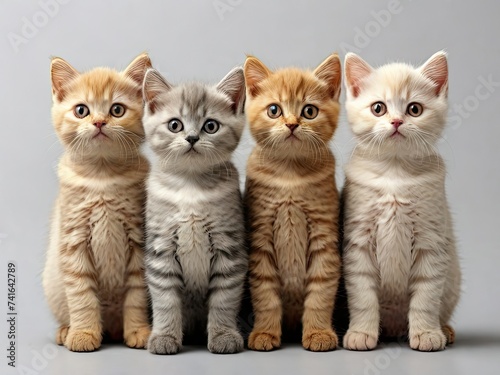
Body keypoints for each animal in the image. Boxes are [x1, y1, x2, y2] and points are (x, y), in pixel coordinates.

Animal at [42, 53, 152, 352]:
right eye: (82, 110)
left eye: (117, 110)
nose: (100, 122)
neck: (102, 175)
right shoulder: (74, 241)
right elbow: (82, 296)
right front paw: (83, 334)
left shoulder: (139, 241)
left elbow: (137, 295)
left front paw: (139, 331)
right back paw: (66, 330)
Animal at [143, 67, 248, 356]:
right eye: (175, 125)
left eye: (210, 126)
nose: (191, 138)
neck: (191, 185)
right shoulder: (161, 249)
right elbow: (165, 300)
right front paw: (164, 337)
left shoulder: (229, 249)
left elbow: (224, 299)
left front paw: (223, 335)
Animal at [243, 55, 344, 352]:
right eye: (274, 110)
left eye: (309, 111)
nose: (291, 124)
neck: (290, 174)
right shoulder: (261, 237)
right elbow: (265, 294)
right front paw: (264, 333)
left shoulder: (324, 236)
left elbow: (320, 291)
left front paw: (318, 333)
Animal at [342, 52, 462, 352]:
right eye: (378, 108)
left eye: (414, 109)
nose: (396, 121)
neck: (394, 172)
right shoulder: (358, 242)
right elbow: (362, 295)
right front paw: (361, 332)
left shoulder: (431, 240)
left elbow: (426, 295)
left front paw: (427, 333)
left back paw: (444, 330)